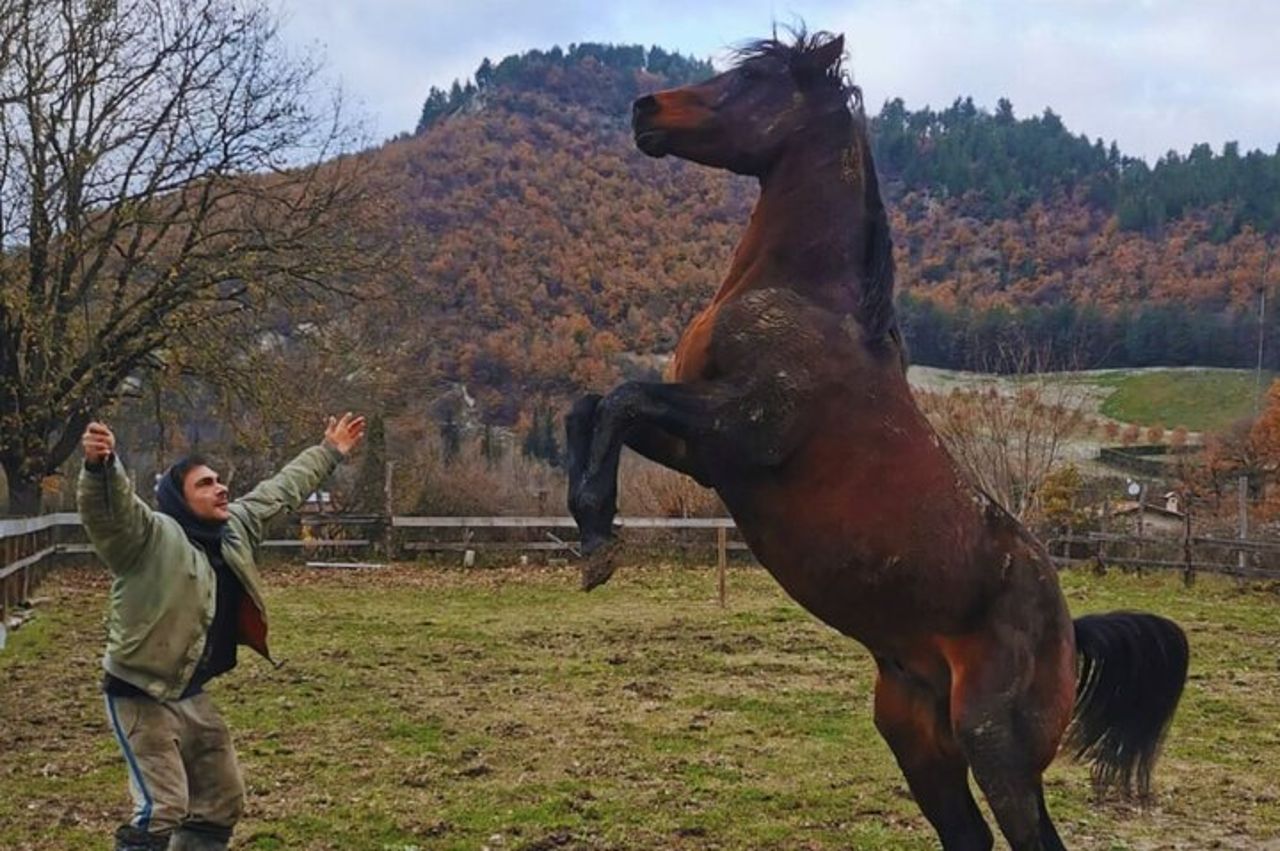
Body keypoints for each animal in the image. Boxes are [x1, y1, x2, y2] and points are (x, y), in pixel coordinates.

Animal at [564, 30, 1188, 851]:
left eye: (755, 80)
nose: (646, 110)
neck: (803, 301)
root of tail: (1070, 633)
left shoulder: (745, 433)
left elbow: (622, 398)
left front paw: (599, 542)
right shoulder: (704, 455)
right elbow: (592, 406)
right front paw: (589, 529)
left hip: (997, 746)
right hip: (914, 734)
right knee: (969, 837)